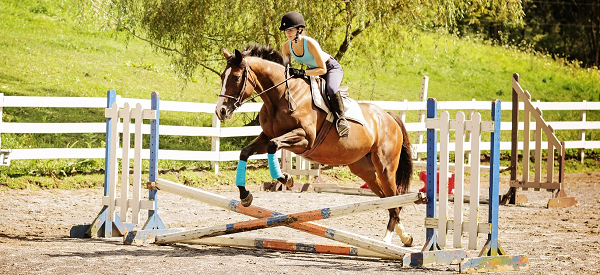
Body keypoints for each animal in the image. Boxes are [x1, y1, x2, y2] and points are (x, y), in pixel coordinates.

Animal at [217, 44, 418, 247]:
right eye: (222, 76)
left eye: (236, 77)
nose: (221, 111)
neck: (281, 96)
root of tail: (388, 116)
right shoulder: (266, 137)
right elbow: (245, 152)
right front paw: (245, 196)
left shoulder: (304, 139)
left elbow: (274, 146)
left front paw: (286, 179)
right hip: (364, 170)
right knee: (389, 201)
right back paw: (405, 237)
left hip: (385, 167)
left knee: (394, 199)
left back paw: (387, 240)